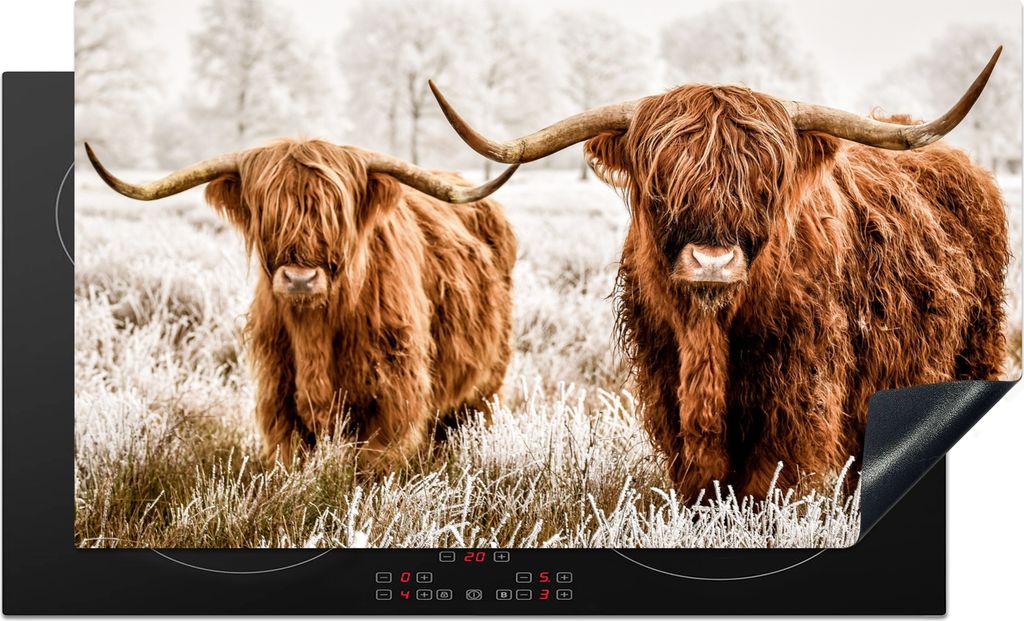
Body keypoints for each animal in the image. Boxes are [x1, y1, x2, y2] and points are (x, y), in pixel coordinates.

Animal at [86, 139, 518, 469]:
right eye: (266, 212)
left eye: (335, 213)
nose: (299, 279)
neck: (315, 332)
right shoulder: (278, 399)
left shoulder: (393, 400)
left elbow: (373, 468)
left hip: (485, 386)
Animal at [429, 48, 1009, 501]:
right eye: (661, 183)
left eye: (764, 183)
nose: (712, 262)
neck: (708, 334)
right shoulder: (666, 382)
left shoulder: (796, 392)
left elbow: (766, 480)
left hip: (973, 348)